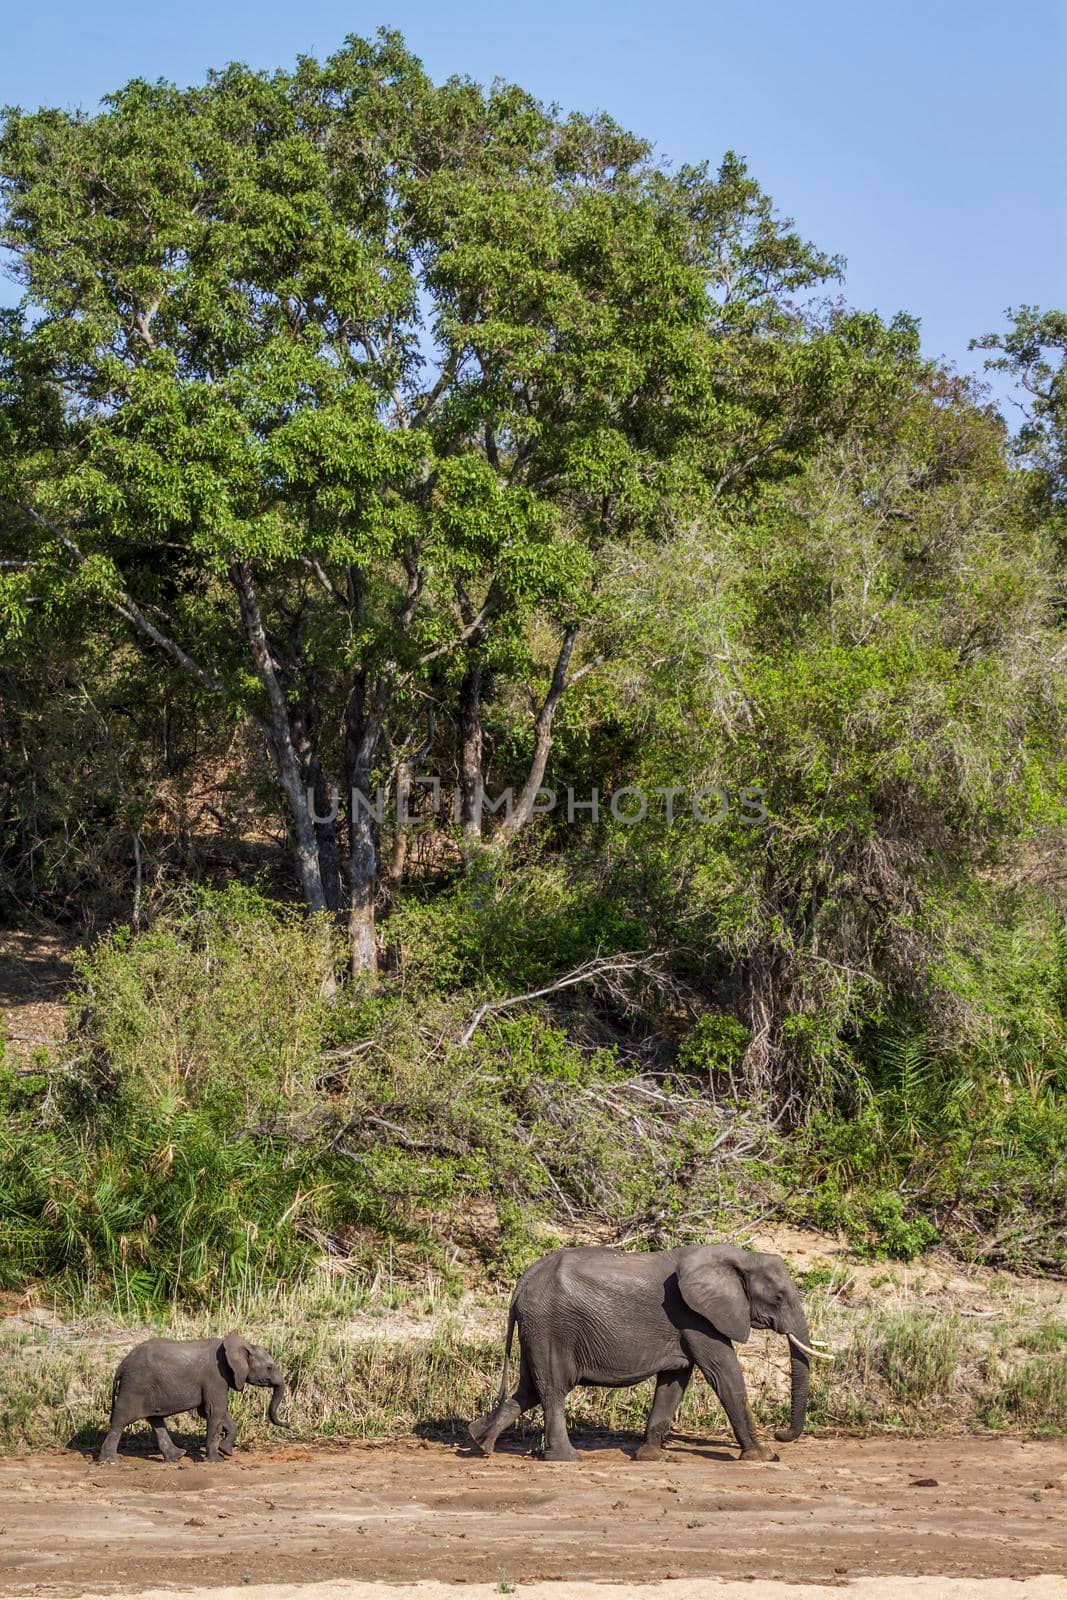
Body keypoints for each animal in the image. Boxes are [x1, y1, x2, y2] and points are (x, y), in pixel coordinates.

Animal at [99, 1337, 287, 1465]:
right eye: (269, 1367)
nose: (288, 1425)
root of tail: (121, 1366)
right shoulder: (216, 1376)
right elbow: (215, 1411)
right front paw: (216, 1460)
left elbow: (211, 1412)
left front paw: (226, 1451)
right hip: (135, 1386)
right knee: (120, 1420)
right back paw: (109, 1461)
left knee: (155, 1419)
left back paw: (177, 1456)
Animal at [470, 1241, 831, 1465]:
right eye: (779, 1297)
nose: (781, 1435)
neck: (740, 1257)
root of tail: (521, 1284)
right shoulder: (695, 1317)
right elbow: (724, 1373)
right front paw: (764, 1456)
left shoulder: (687, 1324)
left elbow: (674, 1380)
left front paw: (652, 1457)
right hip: (551, 1326)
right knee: (553, 1389)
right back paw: (566, 1459)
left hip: (537, 1329)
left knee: (529, 1389)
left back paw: (478, 1442)